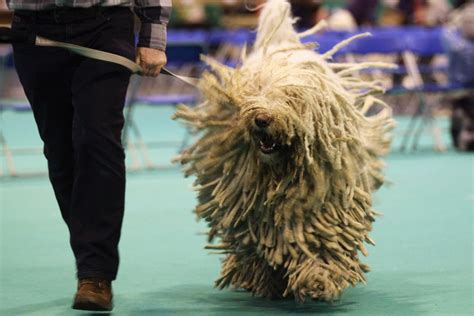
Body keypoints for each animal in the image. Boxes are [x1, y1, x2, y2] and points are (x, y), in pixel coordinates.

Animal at [174, 0, 396, 302]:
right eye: (253, 91)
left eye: (292, 98)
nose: (262, 119)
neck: (280, 171)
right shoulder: (248, 209)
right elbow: (255, 245)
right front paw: (265, 277)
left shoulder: (322, 209)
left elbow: (321, 247)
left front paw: (317, 279)